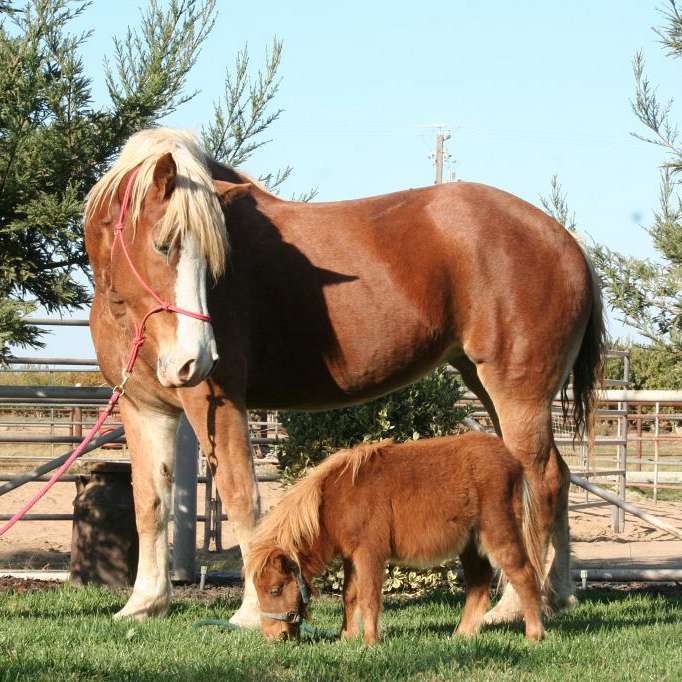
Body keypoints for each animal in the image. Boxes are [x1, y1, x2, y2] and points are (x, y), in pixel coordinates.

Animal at [83, 127, 600, 620]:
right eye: (162, 245)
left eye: (216, 260)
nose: (198, 358)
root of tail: (565, 241)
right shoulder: (143, 408)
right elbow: (149, 502)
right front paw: (144, 604)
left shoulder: (218, 402)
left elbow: (240, 495)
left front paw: (250, 610)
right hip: (486, 385)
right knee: (555, 478)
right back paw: (557, 594)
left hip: (518, 393)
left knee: (540, 482)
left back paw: (514, 605)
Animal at [247, 430, 544, 644]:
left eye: (274, 589)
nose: (273, 637)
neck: (337, 500)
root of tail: (512, 461)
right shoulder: (351, 557)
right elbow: (349, 596)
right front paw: (347, 638)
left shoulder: (370, 554)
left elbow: (368, 597)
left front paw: (370, 642)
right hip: (471, 544)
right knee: (479, 583)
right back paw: (462, 635)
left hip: (498, 532)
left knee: (524, 575)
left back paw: (534, 635)